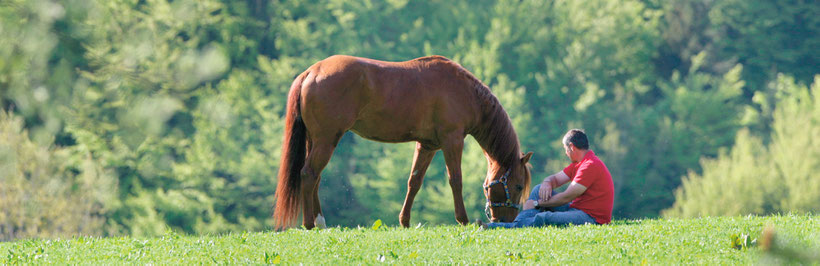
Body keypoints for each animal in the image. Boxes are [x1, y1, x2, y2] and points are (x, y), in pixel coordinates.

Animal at [274, 55, 532, 230]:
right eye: (519, 186)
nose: (506, 221)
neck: (465, 91)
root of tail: (312, 71)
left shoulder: (427, 145)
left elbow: (414, 182)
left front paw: (405, 222)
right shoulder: (452, 140)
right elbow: (455, 180)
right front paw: (463, 220)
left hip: (317, 141)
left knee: (314, 178)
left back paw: (320, 222)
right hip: (326, 140)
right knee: (308, 174)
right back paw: (310, 223)